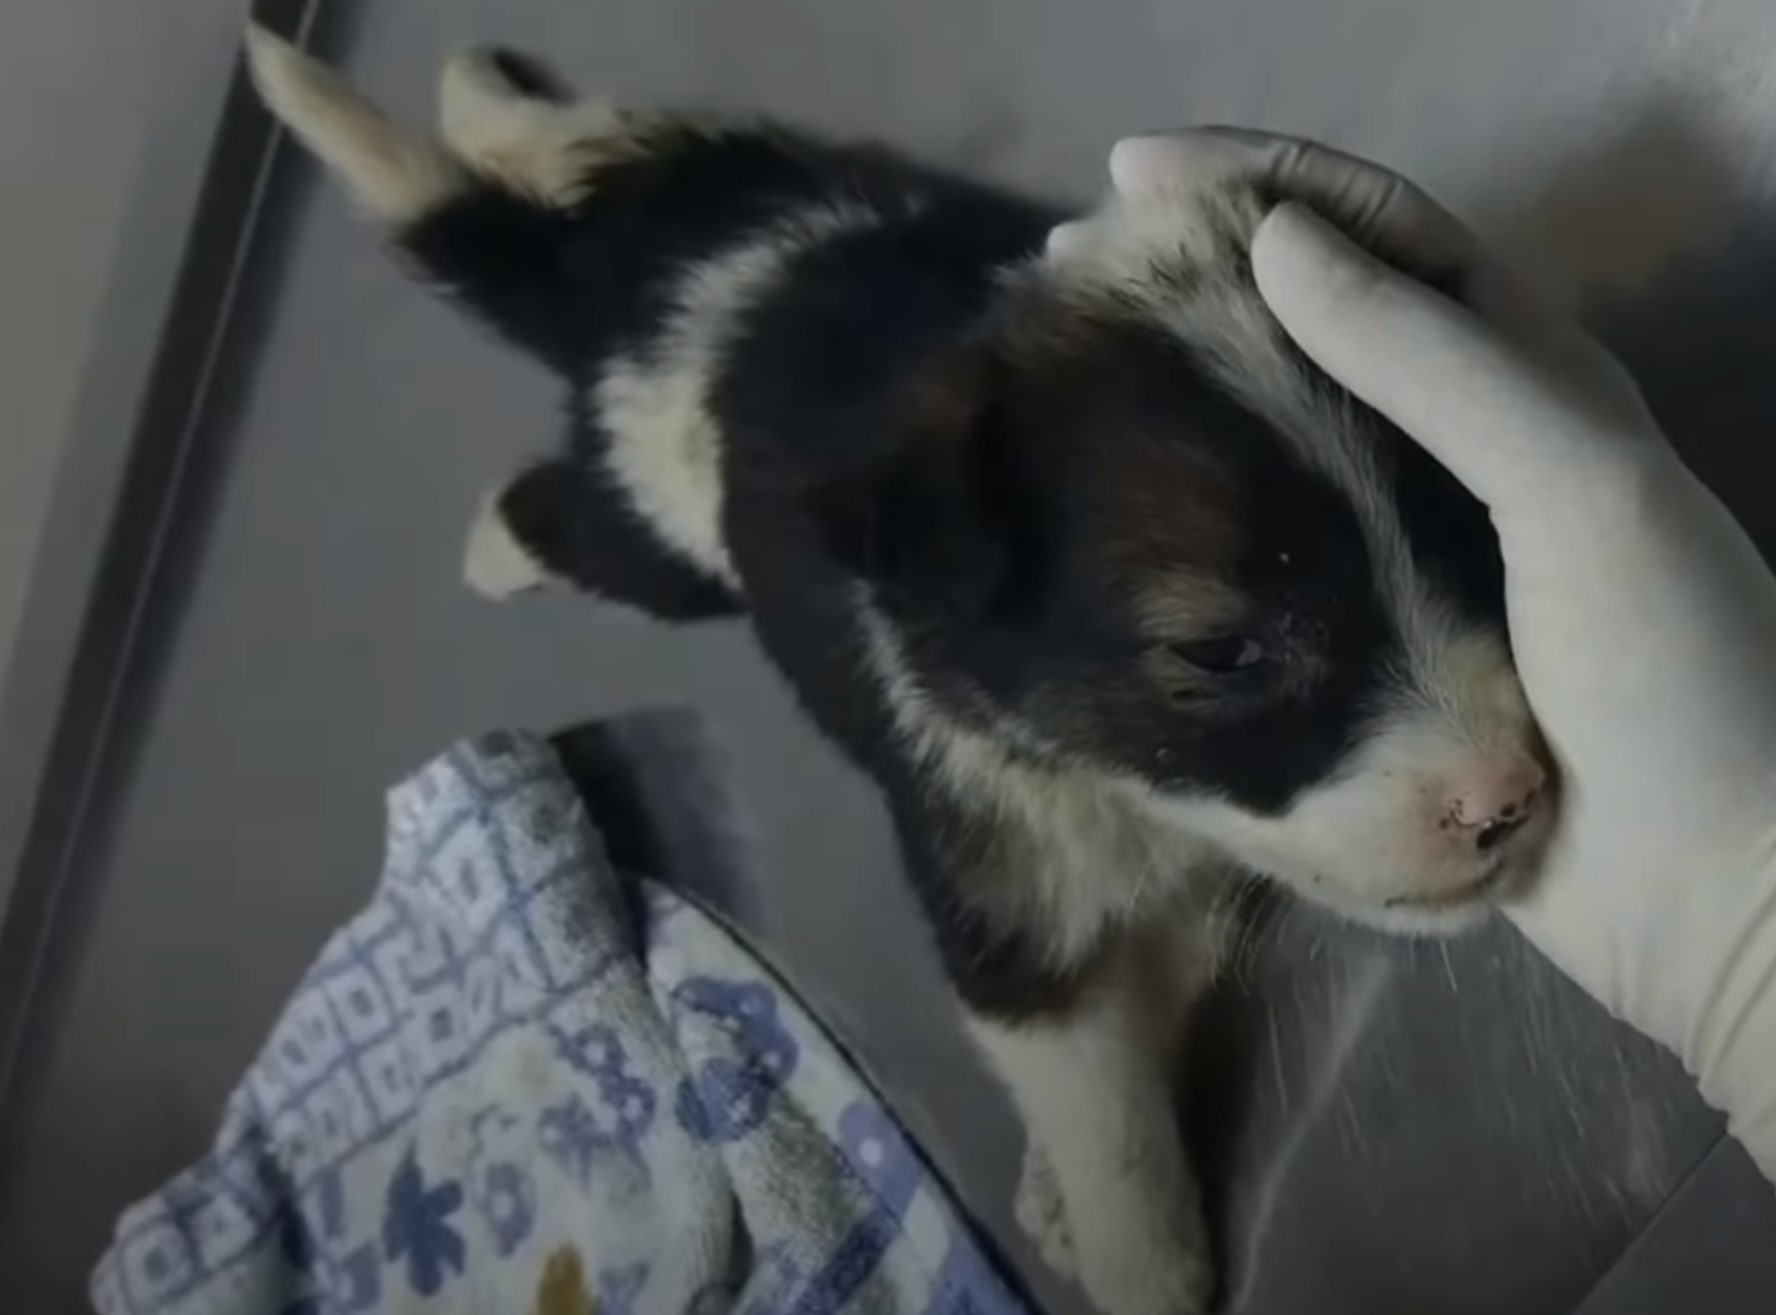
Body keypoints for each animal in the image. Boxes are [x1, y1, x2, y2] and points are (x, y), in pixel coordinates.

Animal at [250, 30, 1555, 1315]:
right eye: (1222, 651)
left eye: (1466, 534)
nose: (1513, 797)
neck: (1117, 786)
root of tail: (645, 291)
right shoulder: (1001, 894)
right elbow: (1108, 1121)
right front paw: (1136, 1259)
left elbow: (1180, 1009)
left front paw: (1063, 1196)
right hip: (660, 536)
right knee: (560, 509)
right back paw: (490, 534)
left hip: (721, 165)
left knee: (598, 136)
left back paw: (481, 93)